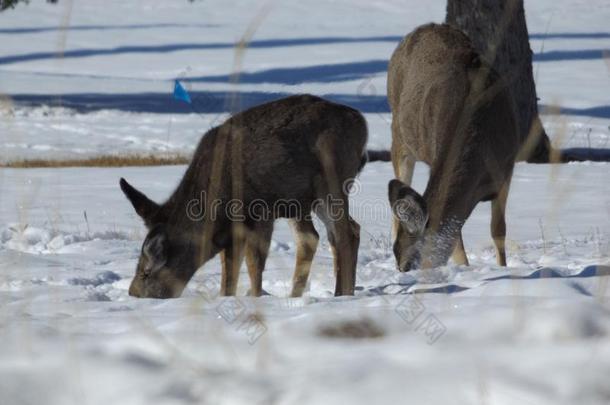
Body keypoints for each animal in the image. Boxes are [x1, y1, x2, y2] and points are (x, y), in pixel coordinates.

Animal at [121, 94, 364, 296]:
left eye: (146, 272)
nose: (133, 293)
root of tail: (361, 121)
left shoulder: (260, 213)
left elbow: (253, 264)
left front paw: (255, 299)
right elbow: (229, 270)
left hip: (333, 179)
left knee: (345, 233)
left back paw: (343, 295)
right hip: (301, 201)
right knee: (318, 237)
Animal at [384, 24, 516, 272]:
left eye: (409, 263)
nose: (401, 271)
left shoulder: (506, 168)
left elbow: (498, 231)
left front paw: (504, 269)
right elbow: (456, 241)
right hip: (399, 135)